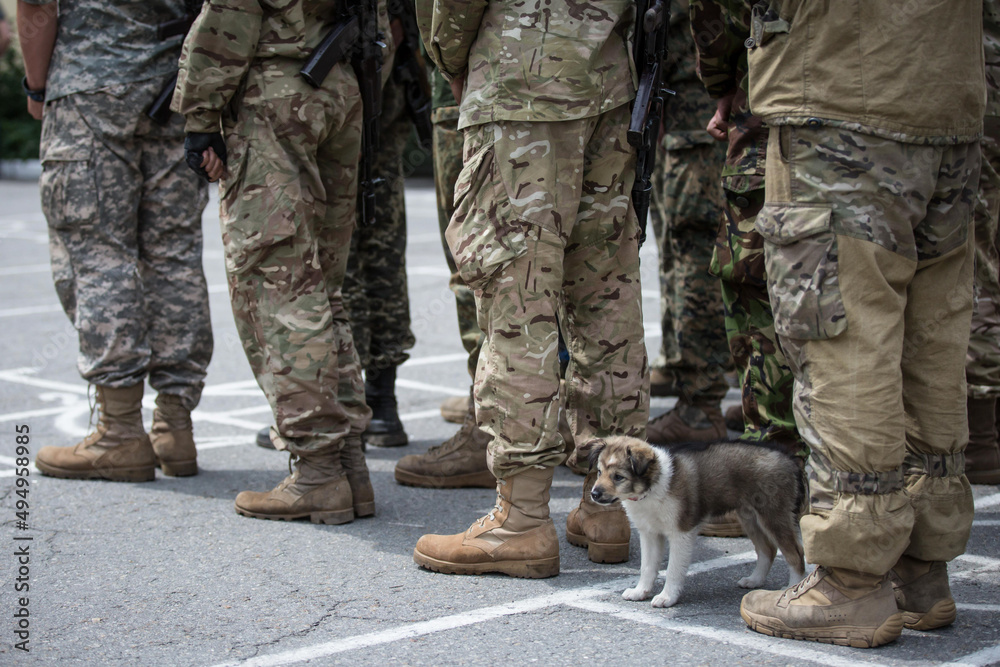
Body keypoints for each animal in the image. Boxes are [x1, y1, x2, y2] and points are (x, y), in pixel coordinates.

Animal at [584, 436, 804, 608]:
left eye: (618, 477)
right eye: (599, 472)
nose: (594, 494)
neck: (653, 488)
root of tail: (789, 458)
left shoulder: (681, 533)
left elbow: (673, 569)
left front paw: (667, 597)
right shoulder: (649, 533)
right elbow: (647, 567)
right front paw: (640, 592)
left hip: (773, 515)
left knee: (795, 553)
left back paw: (791, 587)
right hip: (749, 517)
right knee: (768, 549)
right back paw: (754, 580)